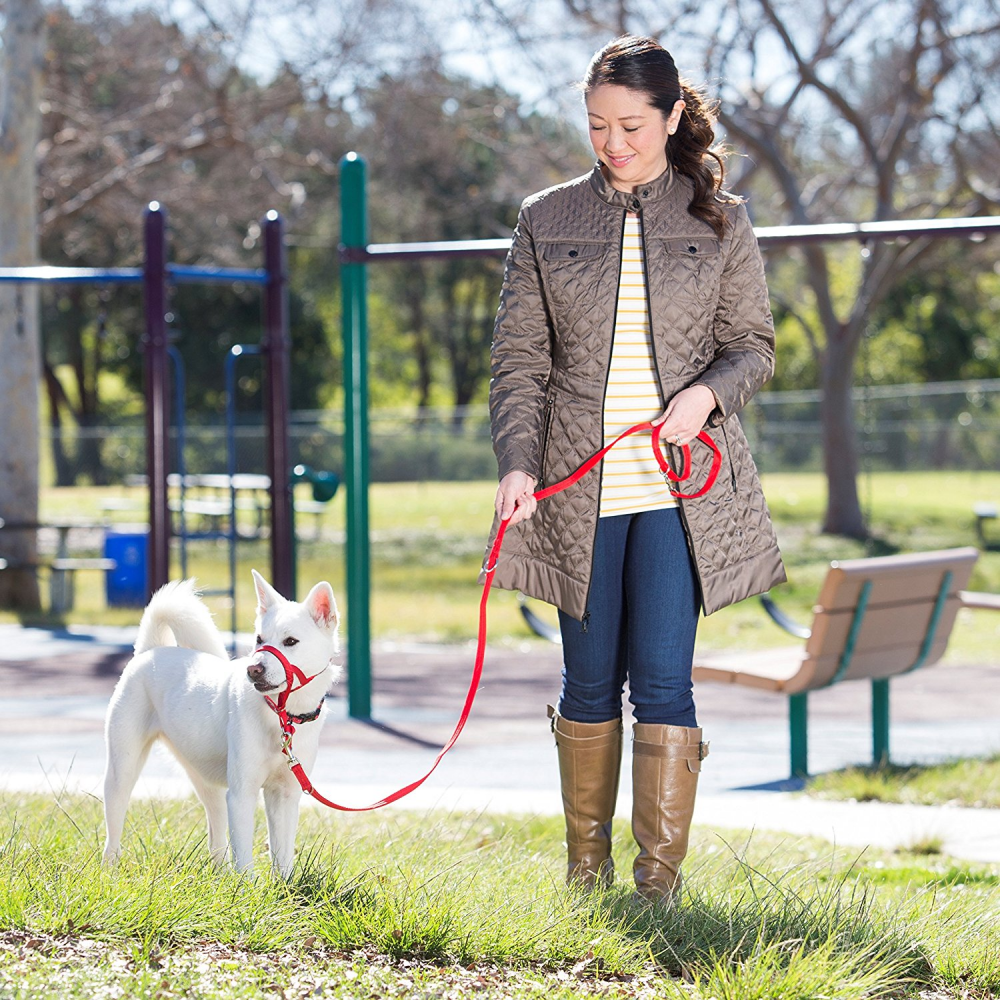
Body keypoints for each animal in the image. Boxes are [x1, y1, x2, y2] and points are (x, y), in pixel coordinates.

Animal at [102, 572, 340, 876]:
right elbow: (245, 858)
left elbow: (283, 856)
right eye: (259, 639)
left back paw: (220, 872)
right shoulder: (241, 794)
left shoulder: (285, 795)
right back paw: (109, 868)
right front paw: (247, 886)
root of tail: (151, 650)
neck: (281, 716)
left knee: (216, 838)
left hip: (207, 784)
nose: (254, 669)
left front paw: (283, 886)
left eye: (290, 641)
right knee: (114, 829)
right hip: (122, 772)